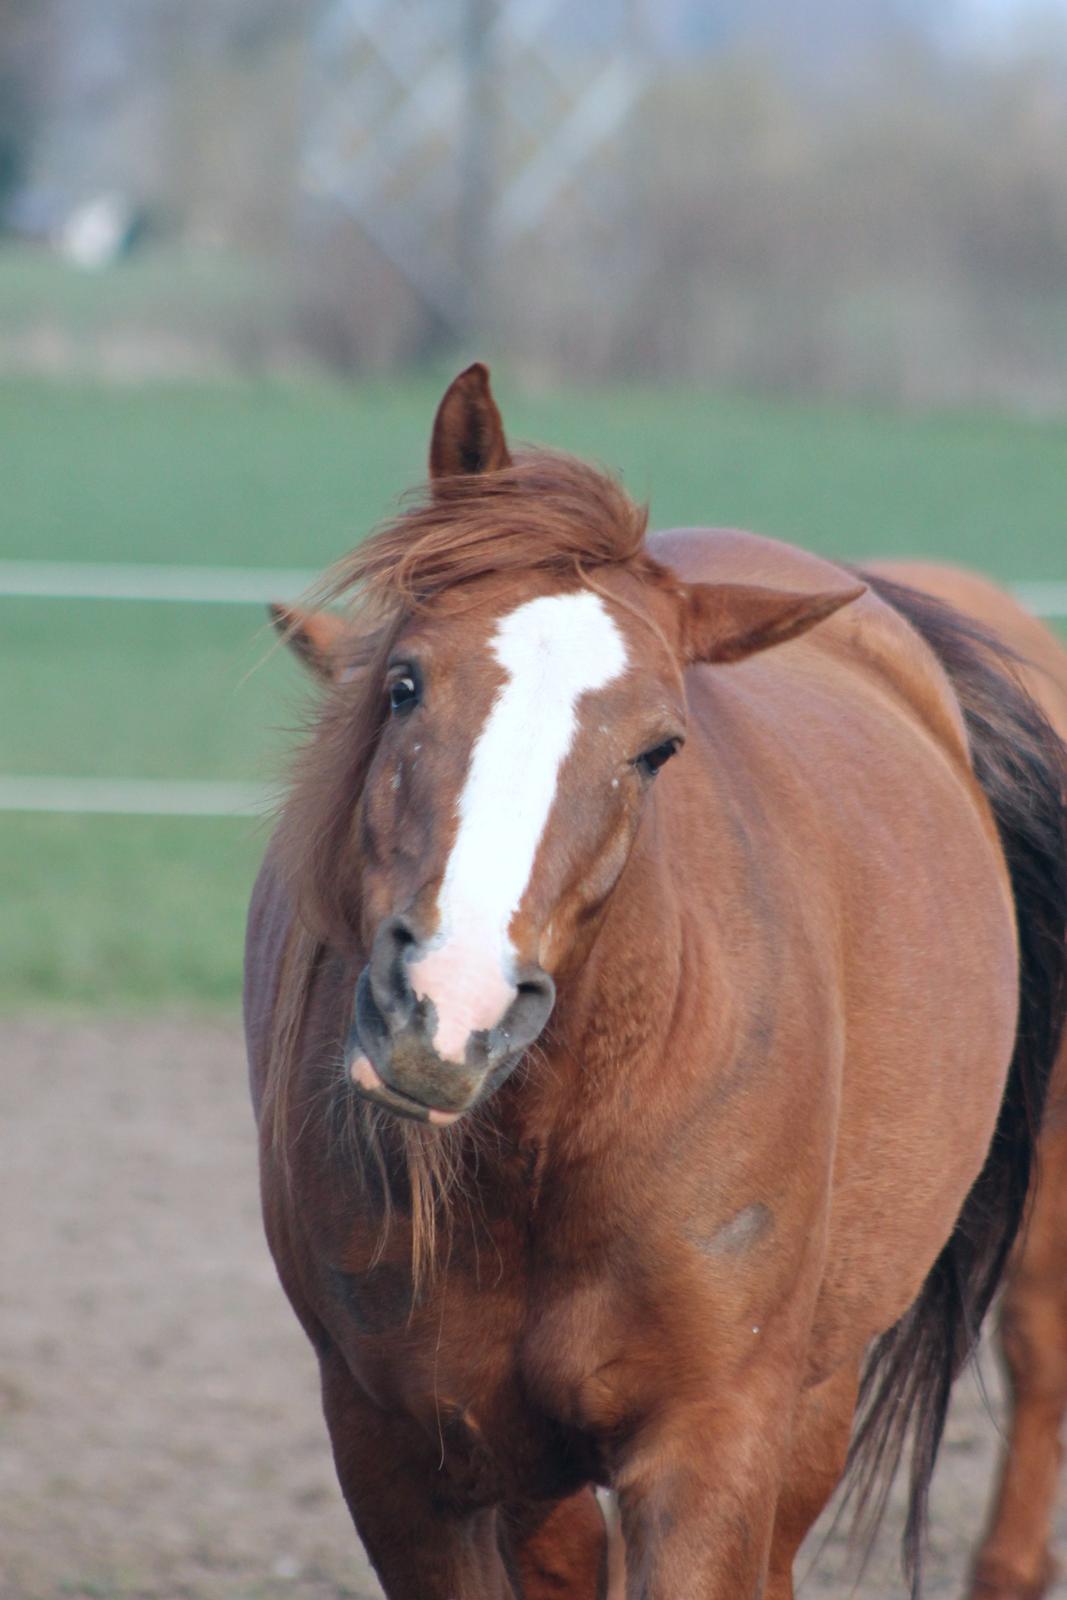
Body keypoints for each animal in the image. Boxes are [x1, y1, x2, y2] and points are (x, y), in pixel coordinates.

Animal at [246, 366, 1067, 1600]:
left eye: (656, 749)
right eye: (402, 683)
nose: (449, 1007)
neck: (552, 1140)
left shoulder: (707, 1443)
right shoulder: (401, 1453)